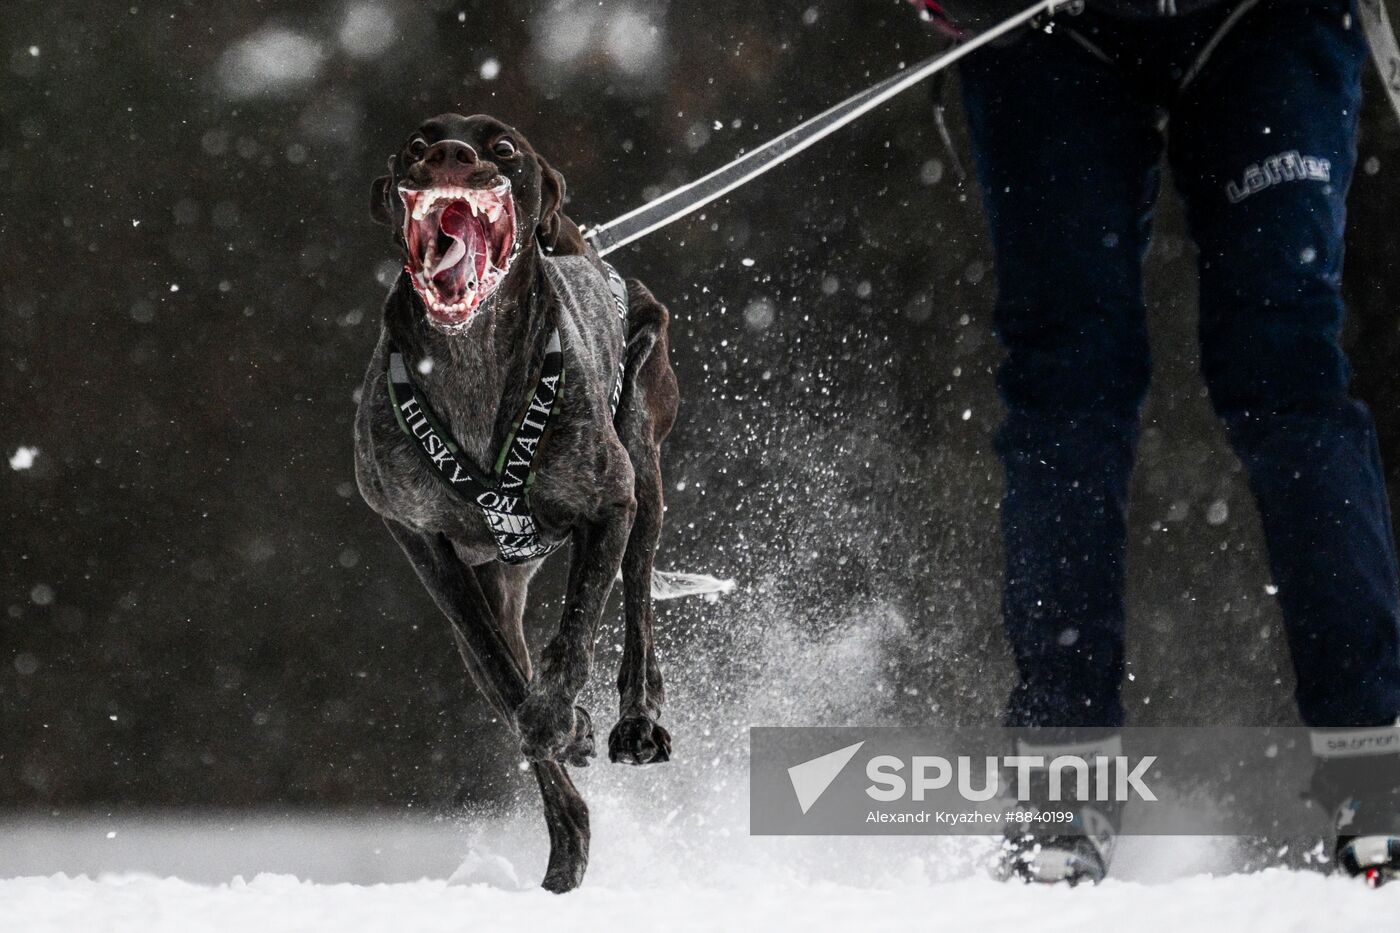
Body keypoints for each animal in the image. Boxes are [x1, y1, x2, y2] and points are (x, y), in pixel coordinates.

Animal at [352, 112, 674, 890]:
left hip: (643, 457)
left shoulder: (608, 504)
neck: (468, 362)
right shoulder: (423, 543)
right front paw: (558, 727)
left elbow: (578, 627)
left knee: (639, 602)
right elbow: (501, 666)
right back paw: (567, 837)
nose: (449, 153)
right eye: (415, 145)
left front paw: (559, 711)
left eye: (501, 147)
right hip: (496, 579)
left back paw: (633, 721)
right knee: (508, 675)